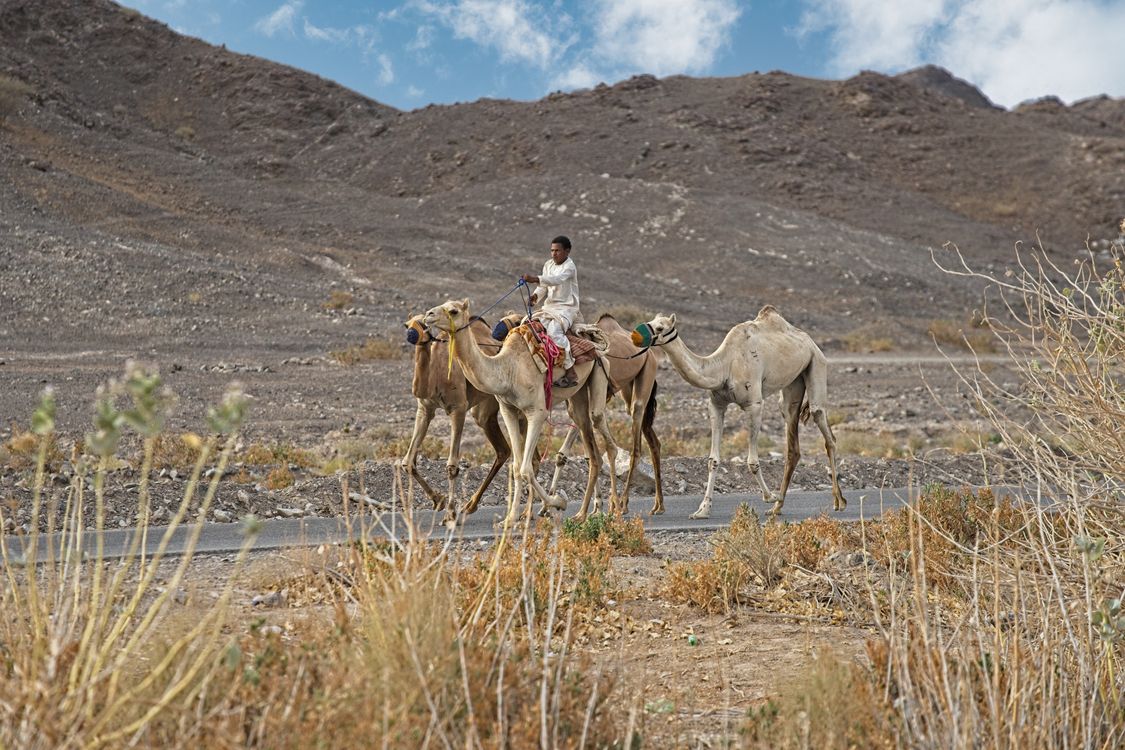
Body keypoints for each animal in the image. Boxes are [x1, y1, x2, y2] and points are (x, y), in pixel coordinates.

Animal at [401, 314, 515, 516]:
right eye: (407, 325)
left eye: (423, 324)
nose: (411, 335)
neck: (437, 372)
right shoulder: (425, 409)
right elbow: (408, 462)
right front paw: (438, 501)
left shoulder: (458, 408)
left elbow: (452, 466)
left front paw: (450, 513)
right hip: (484, 411)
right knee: (504, 449)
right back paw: (471, 505)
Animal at [422, 299, 610, 520]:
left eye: (453, 311)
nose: (428, 315)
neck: (507, 369)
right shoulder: (508, 410)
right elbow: (517, 466)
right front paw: (511, 517)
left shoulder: (537, 412)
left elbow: (526, 468)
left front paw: (557, 502)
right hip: (577, 396)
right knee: (592, 448)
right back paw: (587, 511)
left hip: (599, 370)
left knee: (599, 433)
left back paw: (591, 512)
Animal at [493, 312, 665, 517]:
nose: (496, 335)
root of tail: (651, 354)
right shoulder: (576, 400)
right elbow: (579, 453)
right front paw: (549, 507)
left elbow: (590, 451)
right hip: (629, 389)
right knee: (653, 440)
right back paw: (657, 505)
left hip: (644, 377)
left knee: (636, 442)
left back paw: (622, 504)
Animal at [632, 306, 846, 519]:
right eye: (650, 321)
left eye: (660, 328)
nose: (635, 336)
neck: (724, 366)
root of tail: (810, 342)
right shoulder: (716, 404)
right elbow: (713, 460)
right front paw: (703, 510)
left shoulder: (754, 404)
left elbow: (752, 461)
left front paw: (769, 496)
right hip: (793, 384)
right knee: (792, 436)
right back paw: (778, 507)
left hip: (816, 364)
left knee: (825, 428)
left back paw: (838, 502)